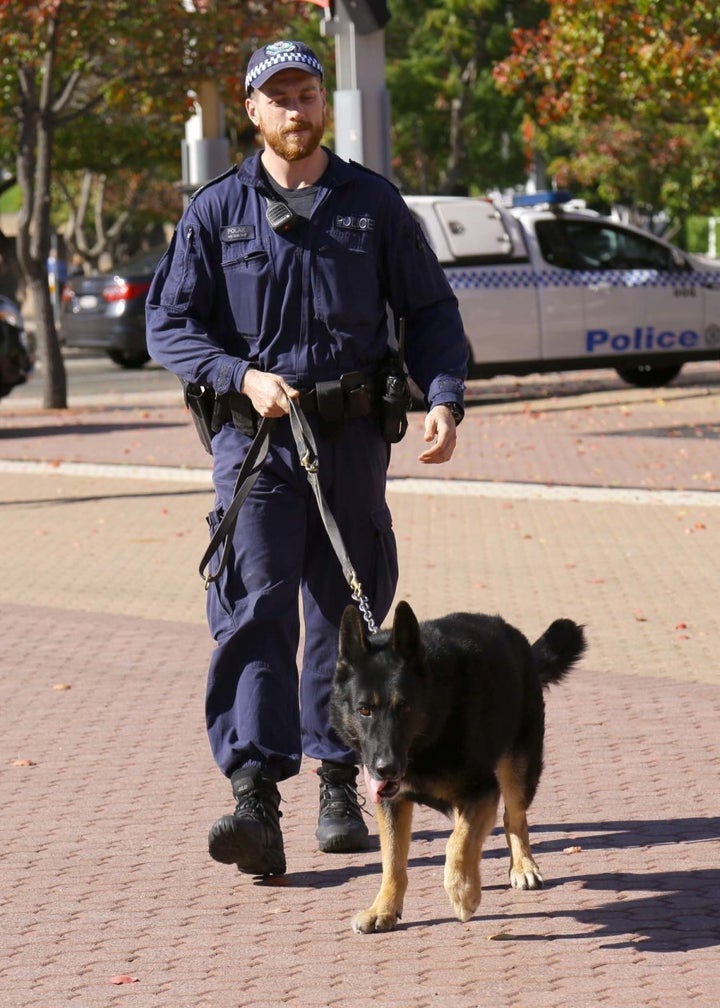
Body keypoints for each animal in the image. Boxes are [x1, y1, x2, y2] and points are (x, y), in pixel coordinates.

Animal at [328, 596, 584, 935]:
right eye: (364, 710)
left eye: (404, 707)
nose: (385, 768)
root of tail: (516, 637)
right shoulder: (393, 803)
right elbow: (393, 860)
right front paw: (384, 908)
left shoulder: (482, 791)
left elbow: (456, 843)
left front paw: (463, 891)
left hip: (519, 770)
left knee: (513, 817)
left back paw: (522, 866)